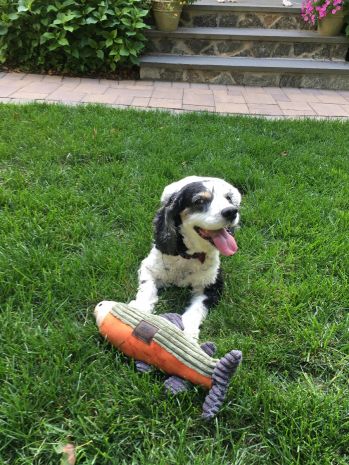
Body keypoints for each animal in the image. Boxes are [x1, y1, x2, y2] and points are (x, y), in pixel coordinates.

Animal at [129, 176, 241, 338]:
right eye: (199, 201)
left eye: (228, 198)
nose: (232, 211)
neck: (189, 256)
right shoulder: (148, 267)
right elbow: (147, 289)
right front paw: (139, 310)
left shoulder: (213, 284)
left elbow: (196, 310)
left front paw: (188, 333)